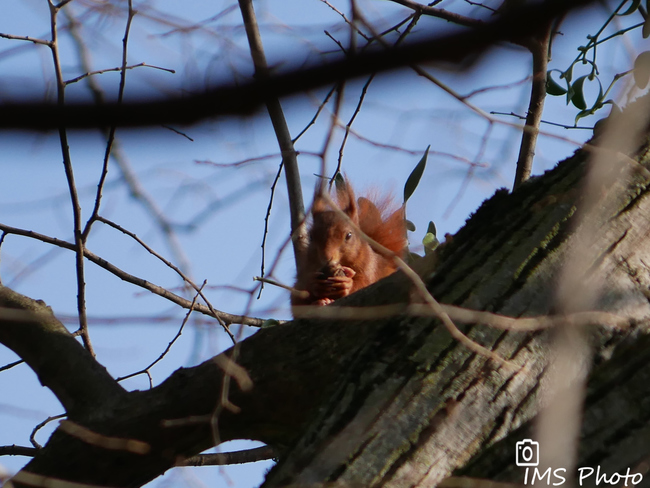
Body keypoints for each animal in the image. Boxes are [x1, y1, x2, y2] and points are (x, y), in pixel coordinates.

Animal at [292, 179, 404, 308]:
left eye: (349, 235)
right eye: (311, 236)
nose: (326, 258)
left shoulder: (371, 268)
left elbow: (365, 284)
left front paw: (347, 284)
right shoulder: (305, 269)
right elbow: (297, 297)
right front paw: (314, 284)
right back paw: (321, 301)